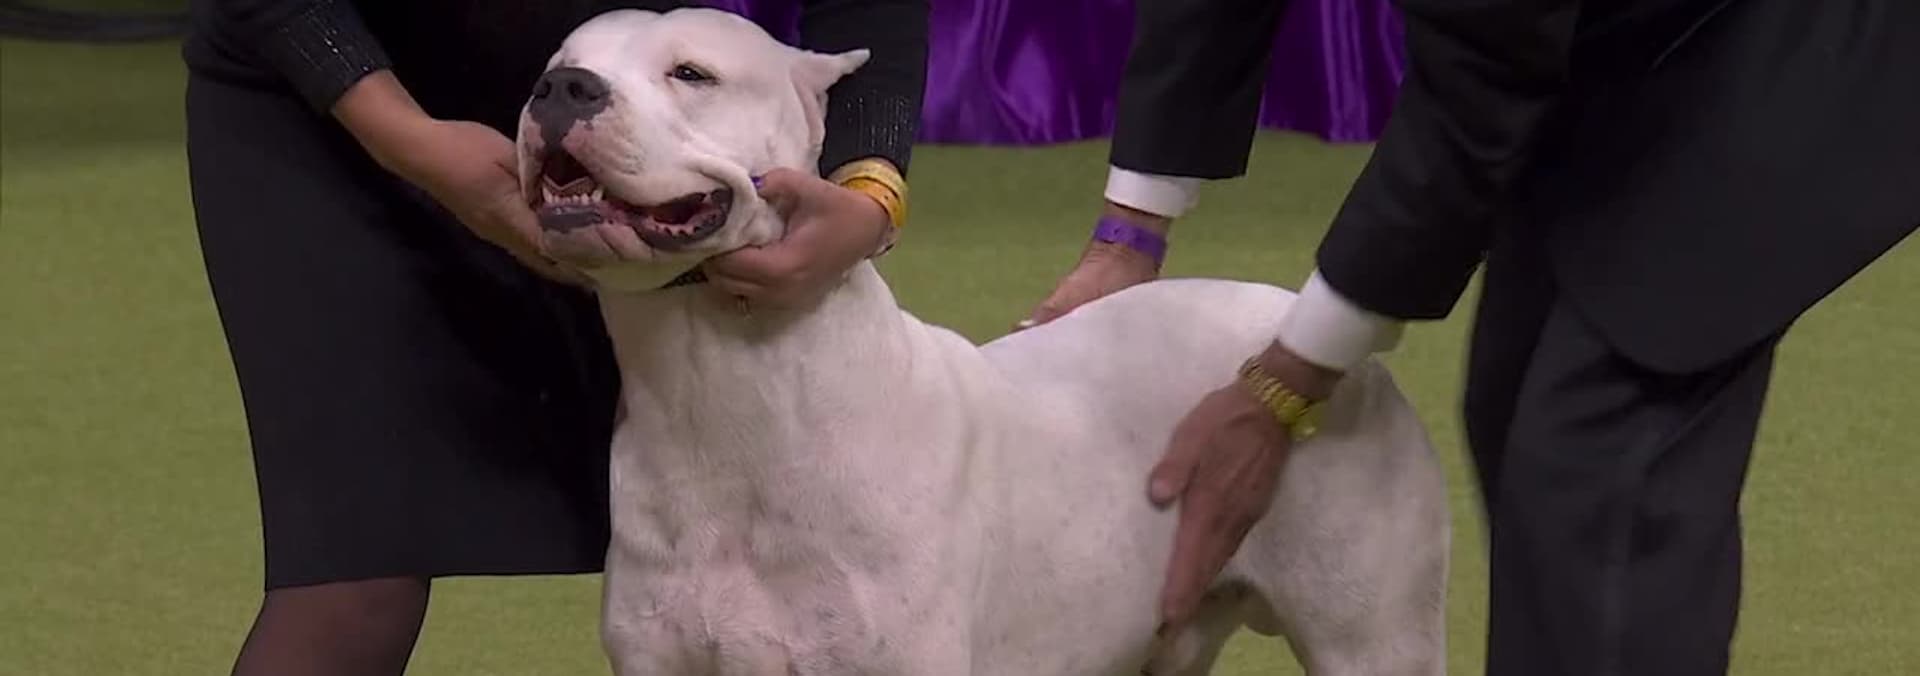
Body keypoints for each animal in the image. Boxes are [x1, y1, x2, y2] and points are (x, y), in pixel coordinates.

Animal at [514, 8, 1451, 675]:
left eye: (692, 74)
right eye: (552, 64)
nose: (563, 88)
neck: (719, 396)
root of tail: (1298, 331)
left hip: (1375, 642)